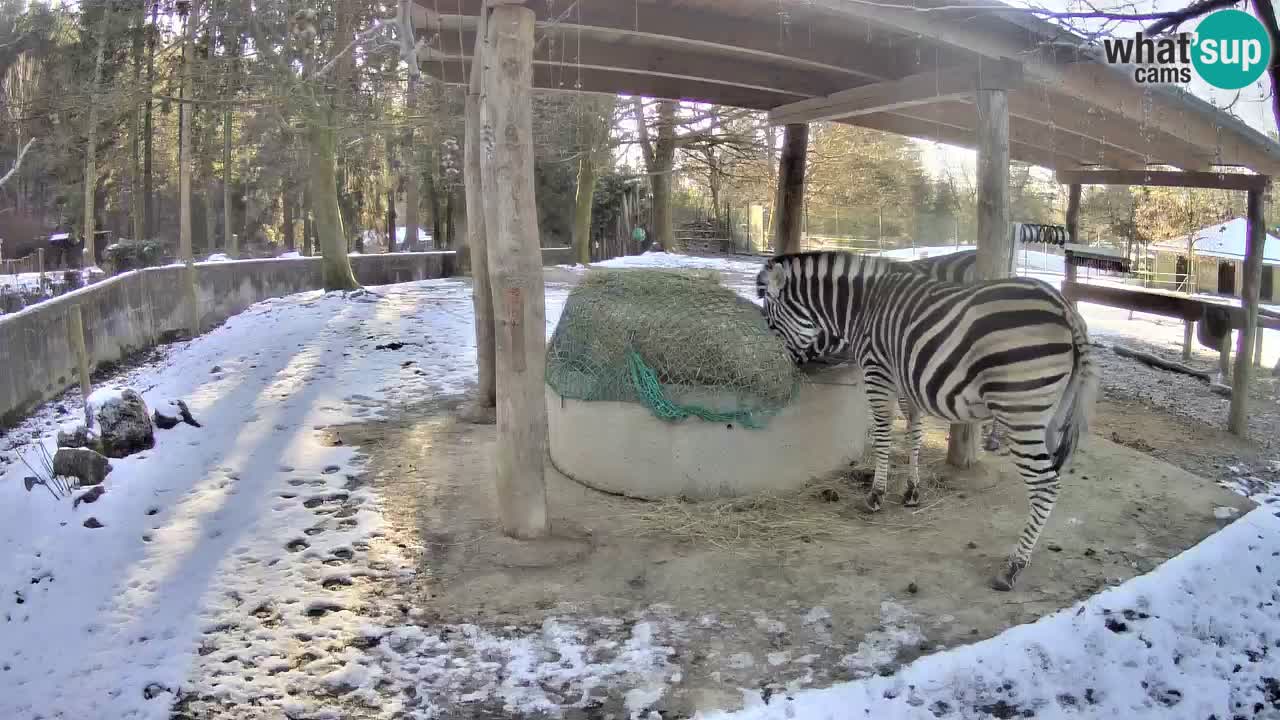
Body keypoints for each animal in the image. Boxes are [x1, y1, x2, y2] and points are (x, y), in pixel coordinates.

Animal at [757, 251, 1100, 589]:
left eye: (771, 324)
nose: (783, 372)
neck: (861, 308)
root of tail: (1063, 306)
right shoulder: (906, 381)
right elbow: (915, 433)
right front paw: (912, 491)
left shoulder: (877, 373)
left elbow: (883, 435)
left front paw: (876, 494)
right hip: (1053, 413)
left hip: (1020, 410)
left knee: (1046, 485)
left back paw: (1013, 566)